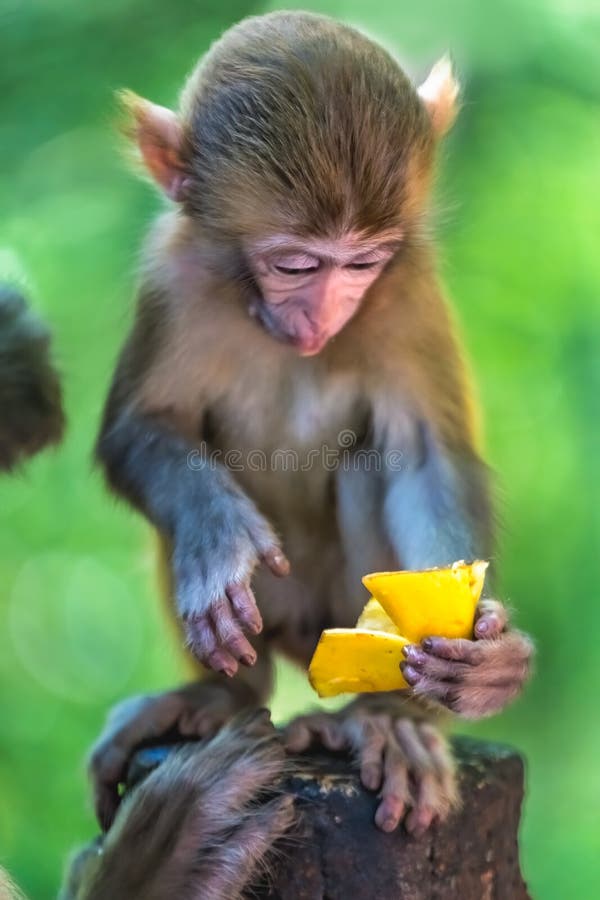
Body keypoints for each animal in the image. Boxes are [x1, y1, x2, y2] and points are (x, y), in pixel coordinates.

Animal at [88, 8, 528, 864]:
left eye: (363, 263)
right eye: (294, 264)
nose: (324, 317)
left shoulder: (407, 285)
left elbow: (424, 460)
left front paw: (490, 653)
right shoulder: (172, 275)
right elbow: (140, 432)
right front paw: (218, 539)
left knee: (372, 465)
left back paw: (386, 719)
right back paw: (219, 694)